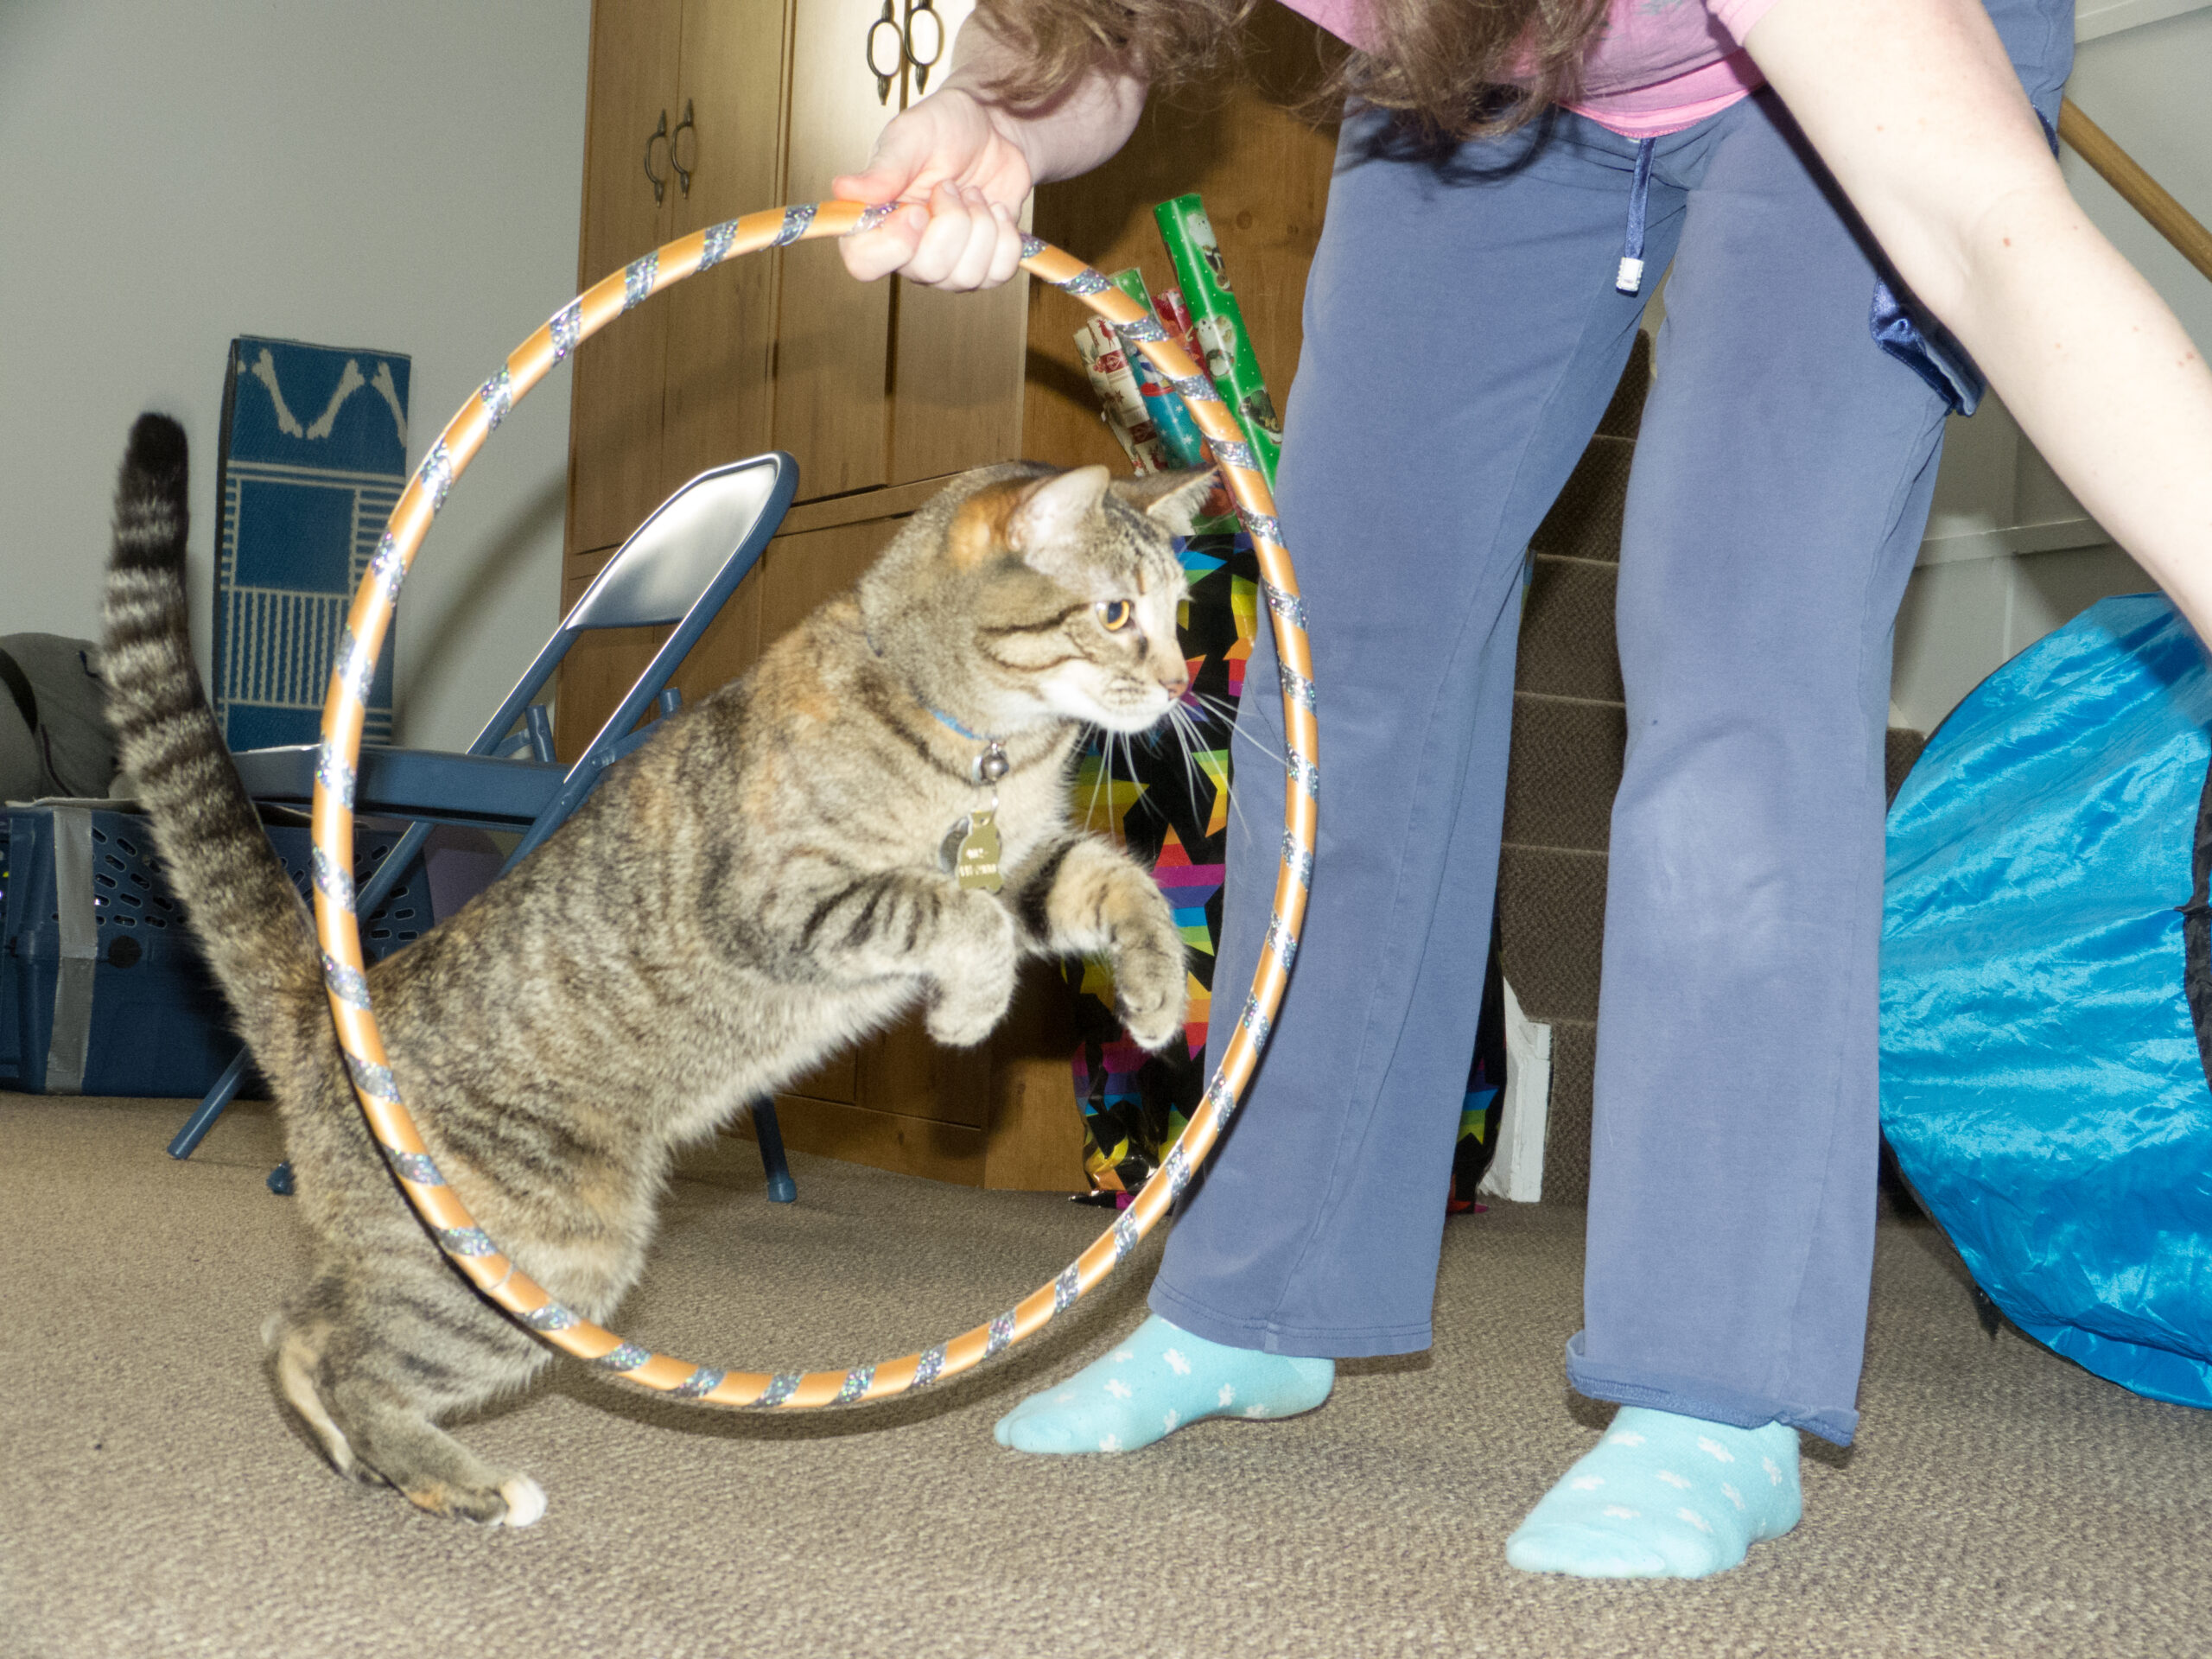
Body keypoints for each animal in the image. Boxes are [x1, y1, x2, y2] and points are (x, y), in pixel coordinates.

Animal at [104, 416, 1211, 1530]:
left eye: (1178, 612)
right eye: (1117, 613)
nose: (1181, 683)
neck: (985, 749)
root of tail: (321, 1017)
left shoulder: (1024, 862)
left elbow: (1110, 884)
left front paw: (1157, 994)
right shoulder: (788, 903)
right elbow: (957, 916)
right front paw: (970, 1013)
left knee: (294, 1332)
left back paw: (358, 1454)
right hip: (544, 1255)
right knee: (347, 1362)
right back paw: (459, 1483)